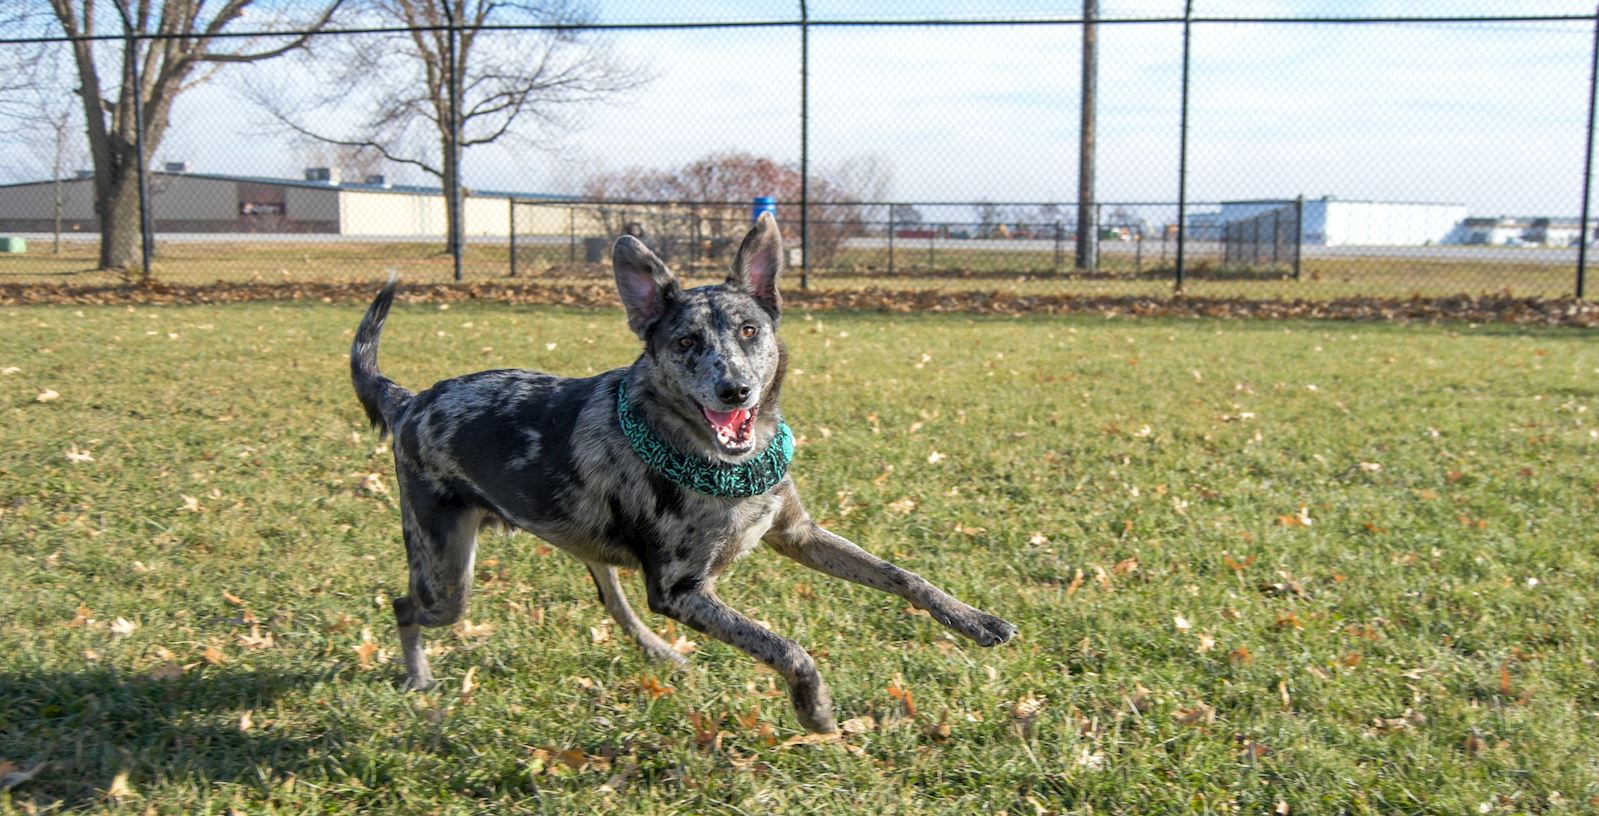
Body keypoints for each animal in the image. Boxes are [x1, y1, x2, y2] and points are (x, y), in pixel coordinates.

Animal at [354, 211, 1016, 732]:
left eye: (750, 330)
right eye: (687, 342)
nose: (735, 389)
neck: (718, 460)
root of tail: (410, 401)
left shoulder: (796, 534)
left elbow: (903, 576)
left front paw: (974, 621)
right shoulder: (680, 590)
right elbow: (785, 647)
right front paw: (816, 709)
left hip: (578, 544)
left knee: (612, 600)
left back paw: (659, 653)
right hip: (446, 576)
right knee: (403, 606)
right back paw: (419, 679)